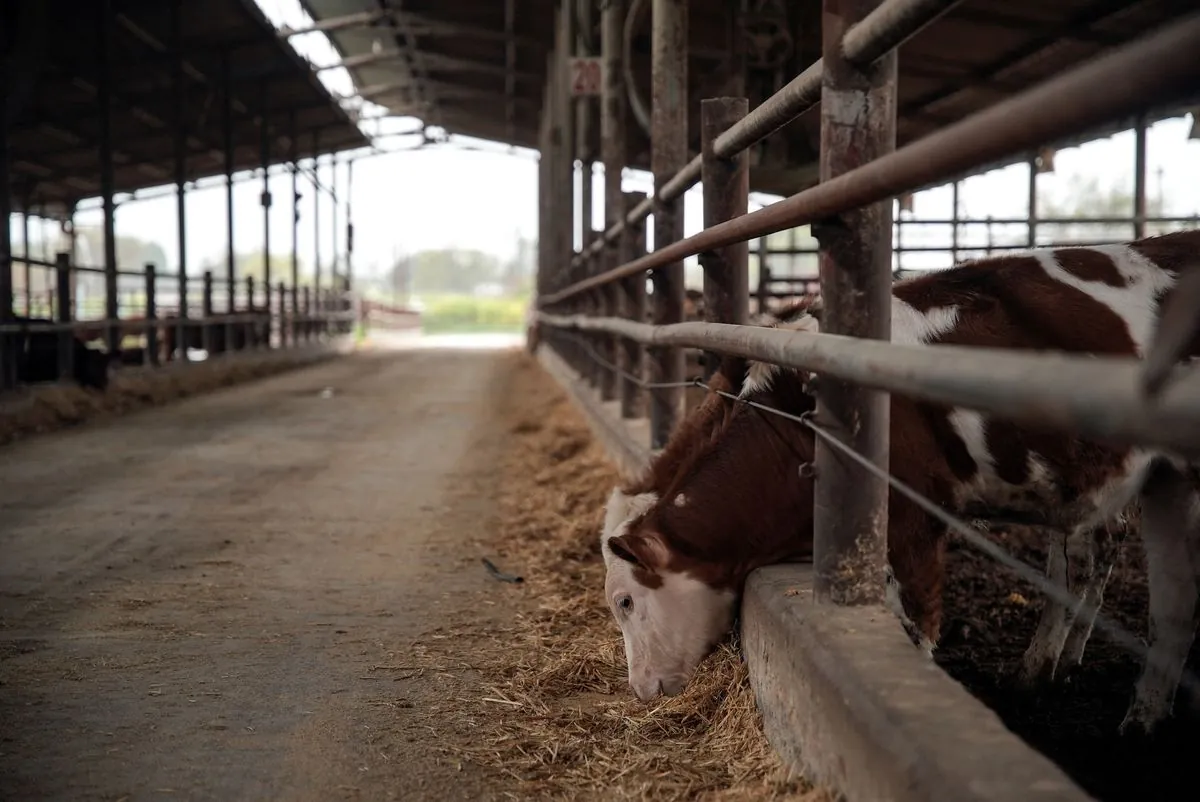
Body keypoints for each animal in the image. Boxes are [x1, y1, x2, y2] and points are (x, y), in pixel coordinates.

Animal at [604, 226, 1200, 739]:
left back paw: (1135, 716)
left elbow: (919, 625)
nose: (640, 689)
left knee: (1167, 600)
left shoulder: (914, 515)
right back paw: (1055, 671)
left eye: (624, 602)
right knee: (1108, 565)